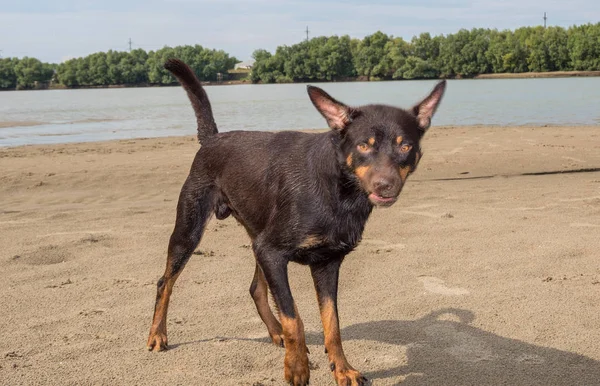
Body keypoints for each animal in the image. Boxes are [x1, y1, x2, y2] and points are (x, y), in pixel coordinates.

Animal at [146, 58, 446, 386]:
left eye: (405, 146)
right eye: (364, 146)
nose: (385, 186)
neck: (340, 191)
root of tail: (212, 138)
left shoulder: (325, 262)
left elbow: (332, 324)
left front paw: (342, 368)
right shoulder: (273, 253)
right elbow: (294, 317)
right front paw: (297, 365)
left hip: (256, 234)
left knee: (256, 288)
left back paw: (275, 333)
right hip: (190, 229)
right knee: (165, 282)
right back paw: (157, 335)